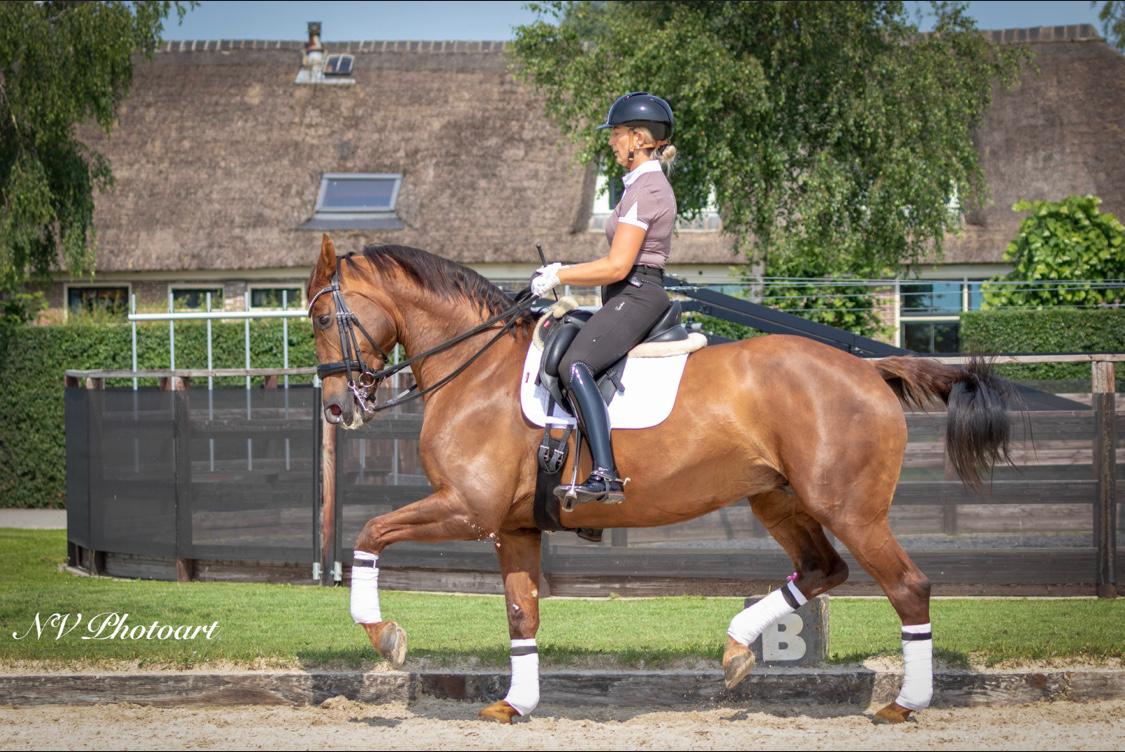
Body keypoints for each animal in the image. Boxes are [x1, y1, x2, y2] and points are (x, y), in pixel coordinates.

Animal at [306, 235, 1012, 720]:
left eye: (318, 318)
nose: (337, 408)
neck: (477, 371)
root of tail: (870, 370)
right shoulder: (512, 527)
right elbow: (521, 612)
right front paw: (516, 704)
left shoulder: (467, 509)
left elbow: (369, 532)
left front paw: (384, 636)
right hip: (778, 501)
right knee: (821, 569)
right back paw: (737, 649)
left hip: (850, 509)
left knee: (908, 588)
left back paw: (906, 703)